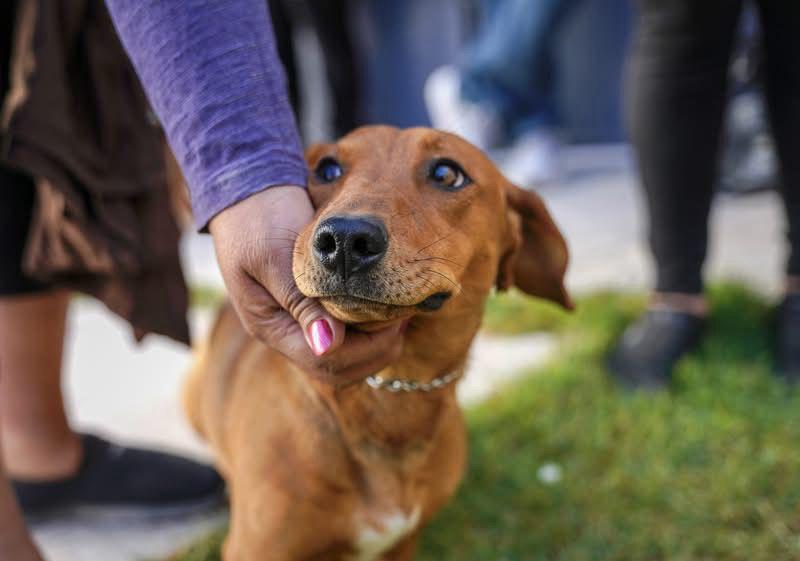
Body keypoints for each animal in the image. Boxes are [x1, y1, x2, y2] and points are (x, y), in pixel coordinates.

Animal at [183, 127, 568, 560]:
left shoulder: (403, 544)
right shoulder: (255, 549)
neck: (393, 391)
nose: (345, 239)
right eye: (327, 169)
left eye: (447, 174)